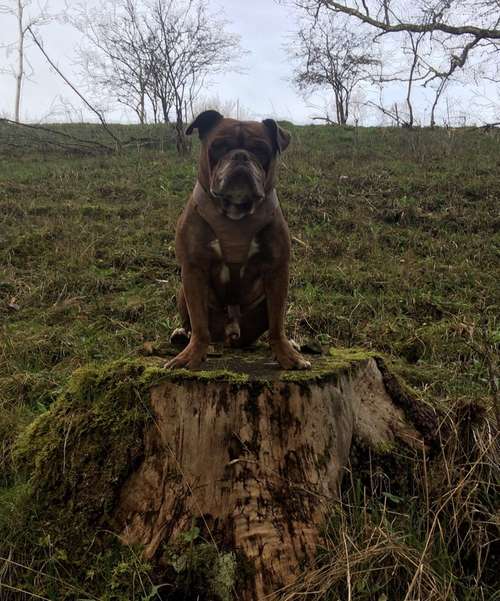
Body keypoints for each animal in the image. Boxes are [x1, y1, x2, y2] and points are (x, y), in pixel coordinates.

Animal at [166, 109, 310, 370]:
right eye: (219, 146)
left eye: (261, 149)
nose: (241, 156)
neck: (235, 213)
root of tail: (231, 332)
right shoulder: (193, 269)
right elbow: (199, 322)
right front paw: (191, 356)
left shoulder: (277, 271)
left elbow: (277, 322)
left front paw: (287, 355)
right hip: (183, 291)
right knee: (194, 324)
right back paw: (182, 335)